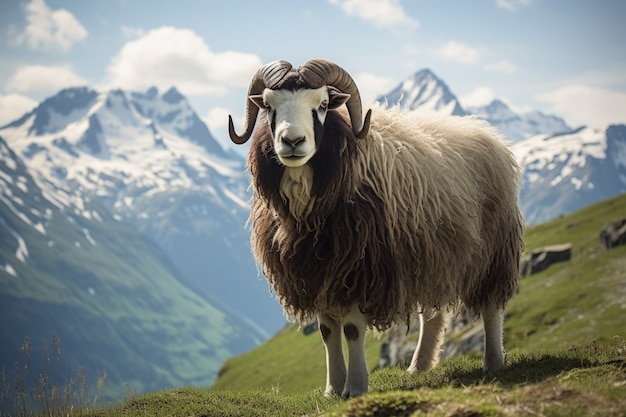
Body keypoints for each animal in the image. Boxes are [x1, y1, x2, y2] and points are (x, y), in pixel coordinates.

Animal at [227, 59, 524, 396]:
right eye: (268, 105)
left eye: (323, 105)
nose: (292, 142)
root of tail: (485, 131)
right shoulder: (315, 272)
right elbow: (328, 332)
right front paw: (333, 388)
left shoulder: (360, 268)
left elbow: (352, 330)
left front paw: (355, 386)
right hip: (433, 254)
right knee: (433, 314)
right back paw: (419, 366)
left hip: (494, 248)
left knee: (491, 306)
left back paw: (493, 361)